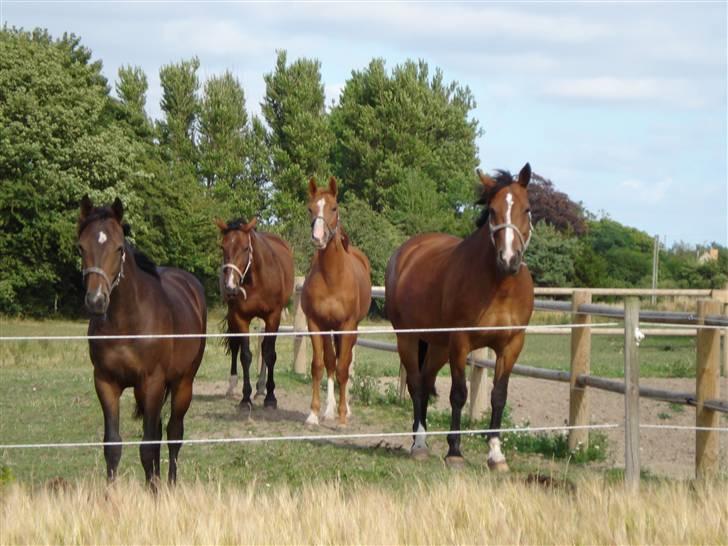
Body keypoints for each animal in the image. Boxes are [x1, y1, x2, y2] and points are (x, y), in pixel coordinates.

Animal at [77, 196, 208, 484]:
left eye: (118, 248)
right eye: (81, 248)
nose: (96, 301)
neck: (125, 325)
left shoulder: (153, 382)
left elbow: (148, 446)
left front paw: (156, 490)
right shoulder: (106, 382)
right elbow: (113, 445)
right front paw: (113, 493)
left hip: (182, 383)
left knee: (173, 433)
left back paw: (169, 484)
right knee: (159, 432)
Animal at [215, 215, 294, 406]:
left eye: (245, 248)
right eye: (223, 247)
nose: (230, 287)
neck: (257, 280)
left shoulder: (273, 317)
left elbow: (270, 354)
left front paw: (271, 397)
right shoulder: (240, 317)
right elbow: (245, 355)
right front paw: (245, 398)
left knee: (265, 348)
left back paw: (261, 389)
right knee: (235, 346)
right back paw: (233, 386)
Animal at [302, 177, 372, 424]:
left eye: (334, 208)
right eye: (310, 208)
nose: (318, 237)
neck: (333, 278)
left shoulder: (348, 325)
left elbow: (343, 368)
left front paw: (343, 417)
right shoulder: (315, 324)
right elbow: (318, 365)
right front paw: (314, 413)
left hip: (350, 329)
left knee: (345, 362)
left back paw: (345, 409)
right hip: (329, 329)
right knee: (331, 362)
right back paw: (329, 409)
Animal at [386, 162, 536, 468]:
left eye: (526, 209)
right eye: (492, 211)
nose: (509, 259)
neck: (499, 287)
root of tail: (407, 251)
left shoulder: (511, 345)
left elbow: (498, 396)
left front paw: (495, 454)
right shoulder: (460, 341)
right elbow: (458, 394)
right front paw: (454, 451)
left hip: (438, 346)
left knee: (426, 382)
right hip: (409, 339)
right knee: (416, 384)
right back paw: (420, 443)